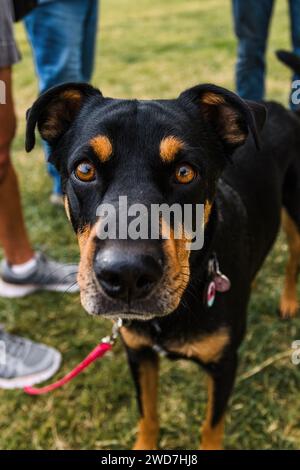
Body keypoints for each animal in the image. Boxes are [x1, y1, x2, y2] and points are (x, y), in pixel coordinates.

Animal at [25, 53, 300, 450]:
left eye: (185, 172)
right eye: (84, 169)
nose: (125, 275)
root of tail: (282, 107)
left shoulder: (224, 365)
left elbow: (211, 427)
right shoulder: (138, 353)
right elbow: (148, 414)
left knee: (294, 256)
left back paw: (289, 301)